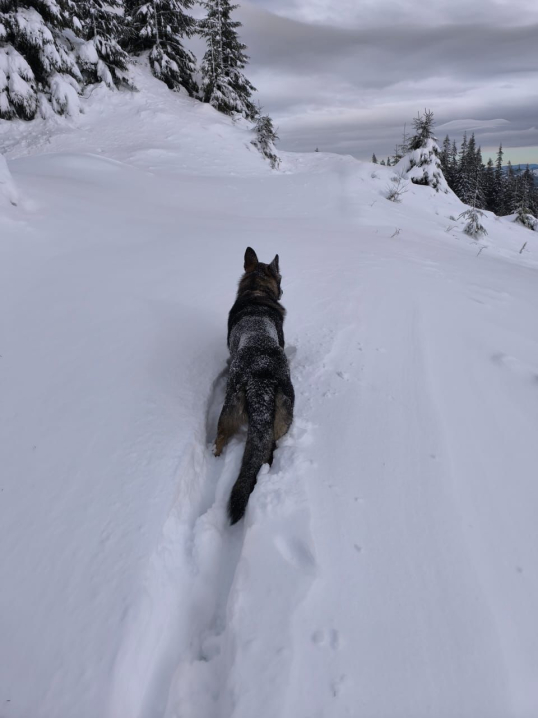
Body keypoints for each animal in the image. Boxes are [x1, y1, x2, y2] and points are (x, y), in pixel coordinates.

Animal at [214, 248, 294, 524]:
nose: (283, 290)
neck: (256, 290)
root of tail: (262, 373)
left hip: (228, 409)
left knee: (220, 437)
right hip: (281, 421)